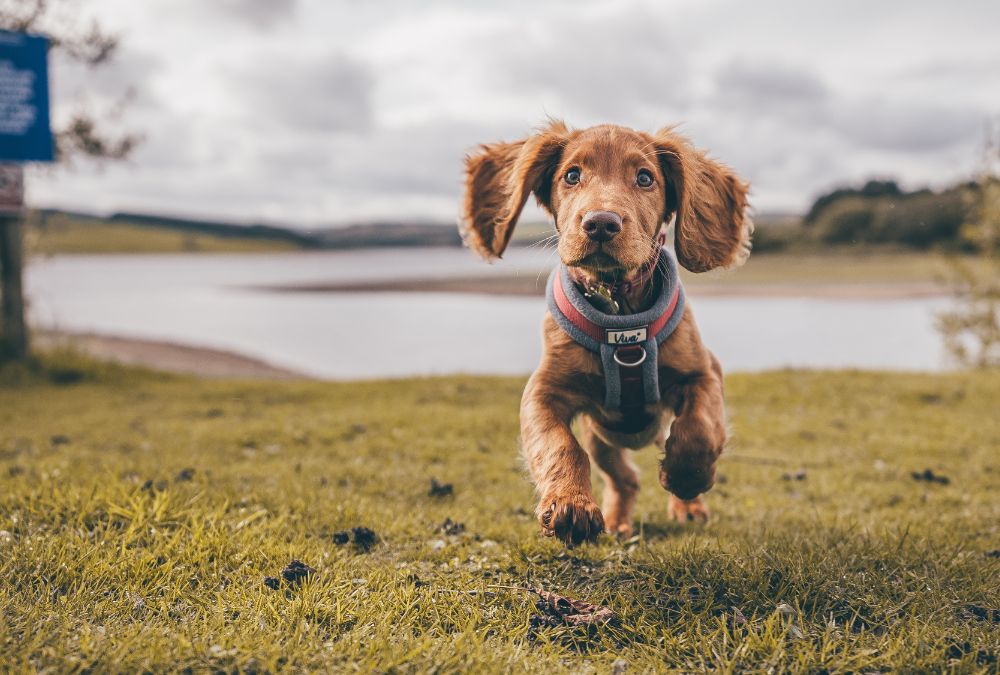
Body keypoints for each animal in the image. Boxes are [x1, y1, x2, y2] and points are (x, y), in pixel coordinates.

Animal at [460, 120, 752, 544]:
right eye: (571, 175)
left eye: (645, 178)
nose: (600, 223)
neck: (619, 310)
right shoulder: (543, 392)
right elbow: (559, 445)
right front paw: (570, 505)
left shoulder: (704, 372)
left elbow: (699, 428)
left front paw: (686, 478)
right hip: (602, 439)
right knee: (625, 478)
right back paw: (616, 521)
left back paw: (689, 507)